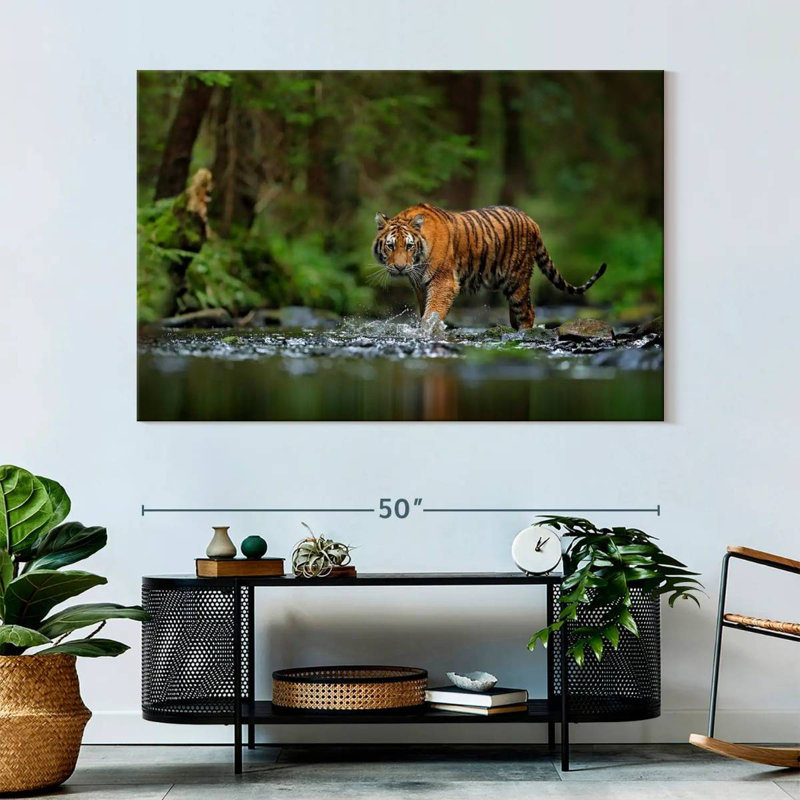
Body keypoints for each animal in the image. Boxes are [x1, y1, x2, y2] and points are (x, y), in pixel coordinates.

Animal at [372, 203, 607, 330]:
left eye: (409, 246)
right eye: (390, 246)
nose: (400, 268)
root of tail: (532, 221)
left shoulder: (444, 282)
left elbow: (432, 313)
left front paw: (427, 331)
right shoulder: (420, 286)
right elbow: (425, 311)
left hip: (517, 280)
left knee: (528, 312)